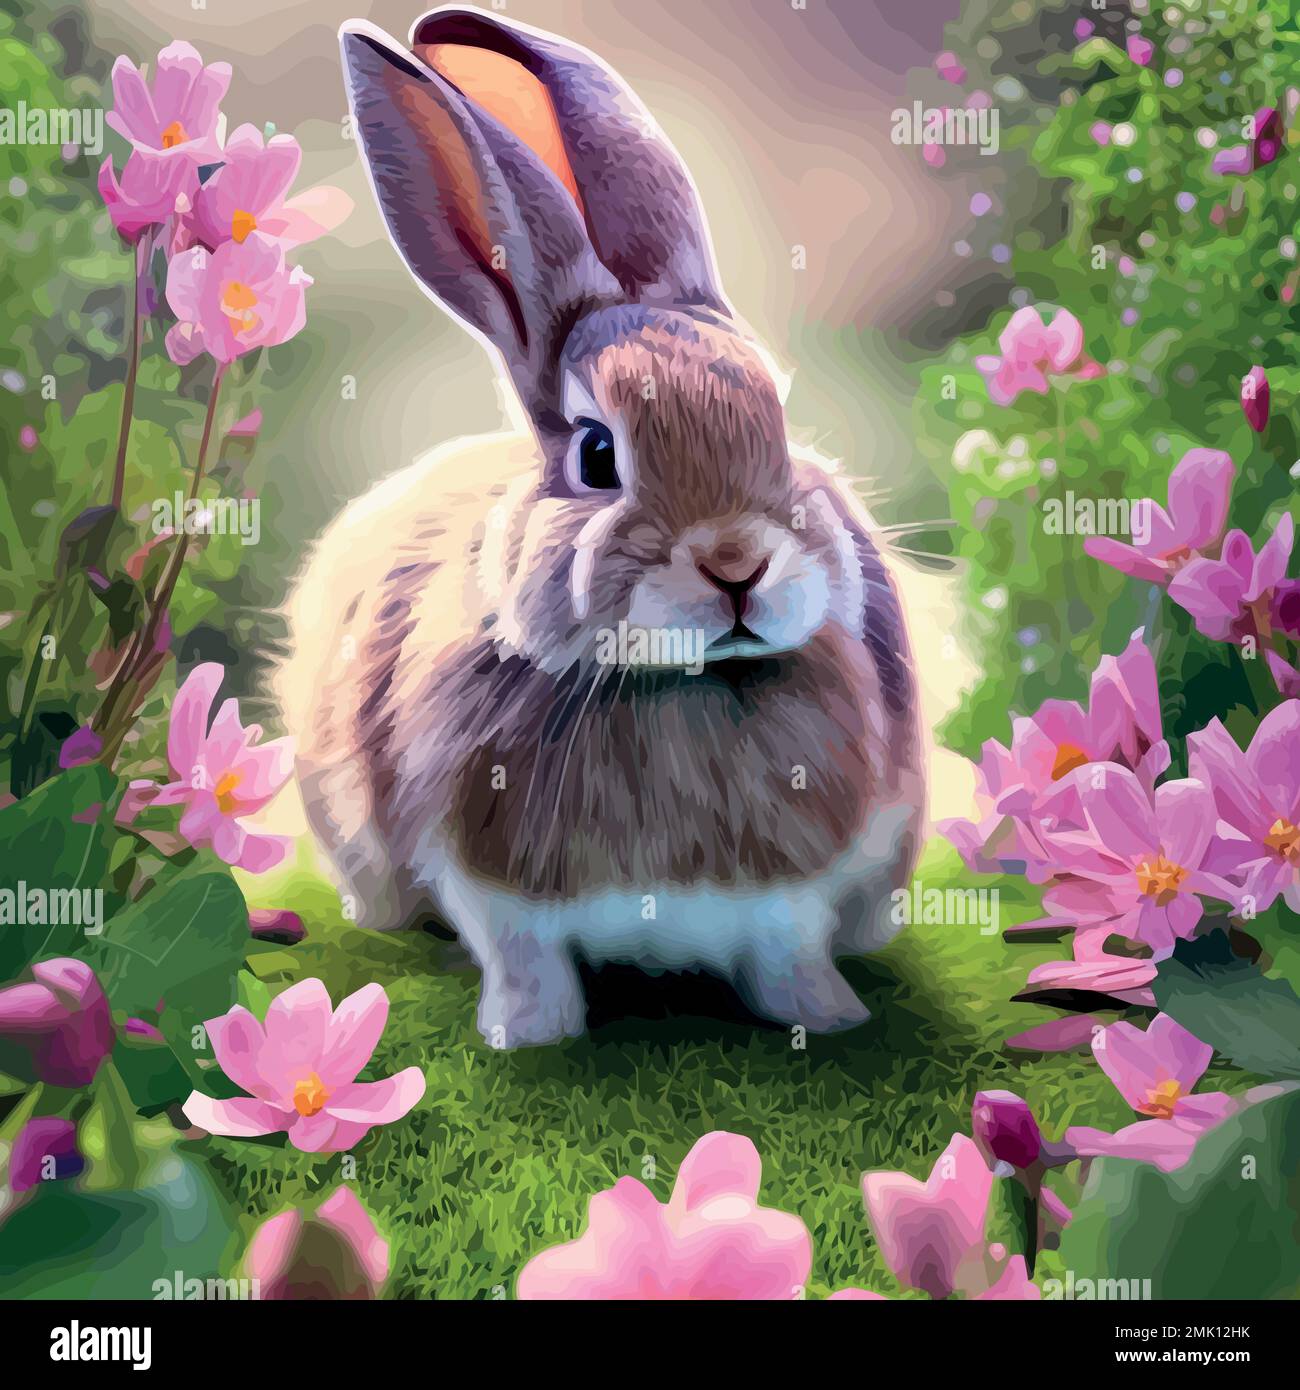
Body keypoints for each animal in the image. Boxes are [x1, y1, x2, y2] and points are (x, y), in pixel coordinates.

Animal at [278, 5, 925, 1049]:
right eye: (595, 454)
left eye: (779, 425)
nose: (736, 565)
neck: (676, 685)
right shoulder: (496, 896)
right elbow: (525, 963)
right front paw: (526, 1038)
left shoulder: (794, 901)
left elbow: (790, 954)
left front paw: (829, 1019)